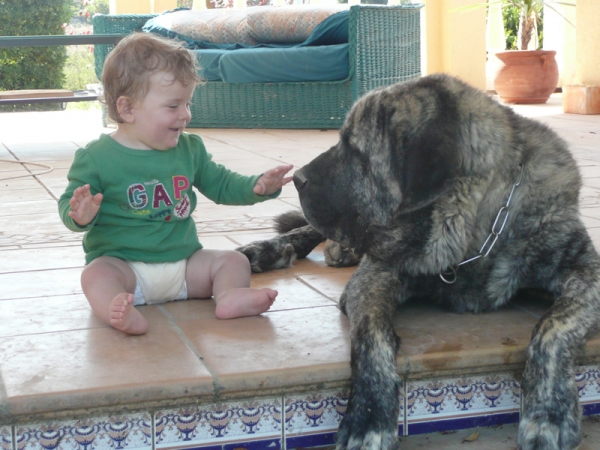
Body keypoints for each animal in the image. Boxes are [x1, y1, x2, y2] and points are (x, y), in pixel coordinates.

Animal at [234, 74, 600, 450]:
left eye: (354, 150)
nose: (297, 179)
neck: (476, 238)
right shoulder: (376, 274)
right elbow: (372, 333)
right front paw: (369, 416)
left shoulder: (585, 268)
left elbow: (552, 327)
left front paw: (549, 414)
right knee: (307, 232)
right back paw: (269, 250)